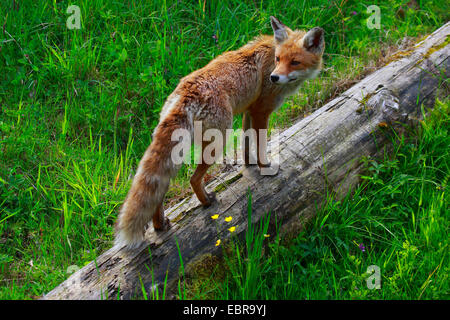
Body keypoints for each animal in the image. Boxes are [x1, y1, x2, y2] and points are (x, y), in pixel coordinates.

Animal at [112, 16, 324, 248]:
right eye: (278, 59)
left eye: (294, 62)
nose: (274, 77)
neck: (270, 53)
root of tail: (185, 93)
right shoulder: (261, 111)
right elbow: (259, 145)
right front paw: (265, 167)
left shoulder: (249, 111)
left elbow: (246, 144)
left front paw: (249, 164)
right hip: (218, 141)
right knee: (193, 179)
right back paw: (206, 201)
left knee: (159, 192)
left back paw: (160, 224)